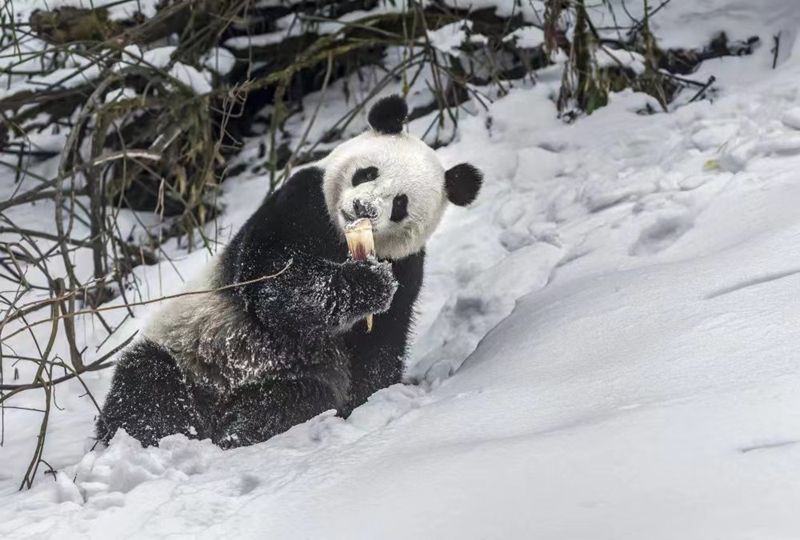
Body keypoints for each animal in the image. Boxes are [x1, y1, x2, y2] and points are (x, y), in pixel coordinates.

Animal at [94, 95, 482, 450]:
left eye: (400, 204)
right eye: (368, 172)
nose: (363, 208)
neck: (344, 240)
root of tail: (213, 407)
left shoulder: (407, 265)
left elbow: (380, 342)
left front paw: (368, 402)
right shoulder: (302, 203)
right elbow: (274, 283)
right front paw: (366, 284)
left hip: (291, 378)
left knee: (287, 403)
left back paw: (237, 433)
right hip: (187, 348)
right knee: (147, 385)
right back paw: (155, 438)